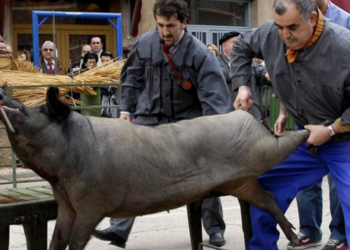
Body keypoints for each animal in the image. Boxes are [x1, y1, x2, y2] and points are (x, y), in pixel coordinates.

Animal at [0, 87, 310, 249]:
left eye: (40, 111)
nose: (5, 95)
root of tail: (245, 114)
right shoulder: (66, 205)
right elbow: (57, 241)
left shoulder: (92, 204)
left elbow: (76, 242)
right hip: (242, 182)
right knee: (268, 198)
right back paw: (296, 239)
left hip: (262, 149)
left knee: (284, 145)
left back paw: (308, 130)